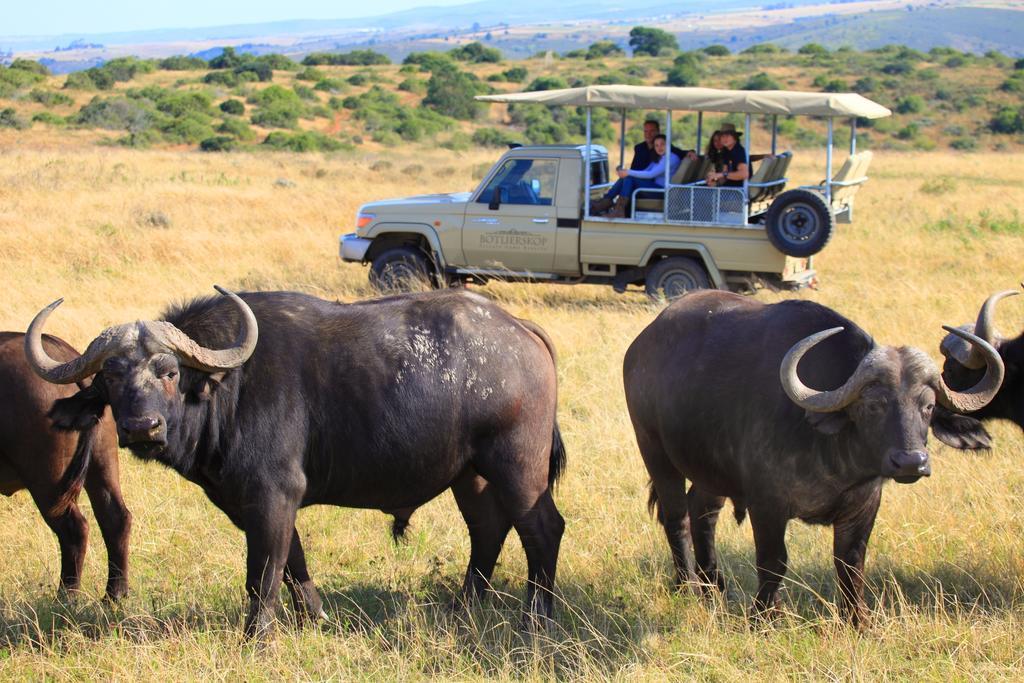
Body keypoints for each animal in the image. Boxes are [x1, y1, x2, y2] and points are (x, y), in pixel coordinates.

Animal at [0, 333, 132, 602]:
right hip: (101, 464)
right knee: (115, 518)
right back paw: (114, 595)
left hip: (48, 481)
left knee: (74, 530)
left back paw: (66, 597)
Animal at [25, 286, 569, 634]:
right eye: (111, 377)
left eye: (169, 372)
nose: (142, 428)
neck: (228, 388)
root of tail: (520, 330)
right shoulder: (256, 504)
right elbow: (294, 565)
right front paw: (313, 619)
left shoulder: (271, 496)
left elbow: (263, 575)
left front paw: (256, 637)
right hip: (470, 475)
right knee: (488, 528)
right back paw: (463, 607)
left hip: (517, 467)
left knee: (542, 528)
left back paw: (536, 617)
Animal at [618, 290, 1003, 626]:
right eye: (873, 405)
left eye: (928, 406)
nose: (911, 462)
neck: (834, 458)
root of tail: (642, 346)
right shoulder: (767, 504)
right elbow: (773, 561)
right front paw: (765, 617)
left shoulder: (864, 504)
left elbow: (850, 562)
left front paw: (857, 621)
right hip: (654, 451)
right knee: (677, 517)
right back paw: (687, 586)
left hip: (710, 469)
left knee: (702, 512)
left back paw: (714, 586)